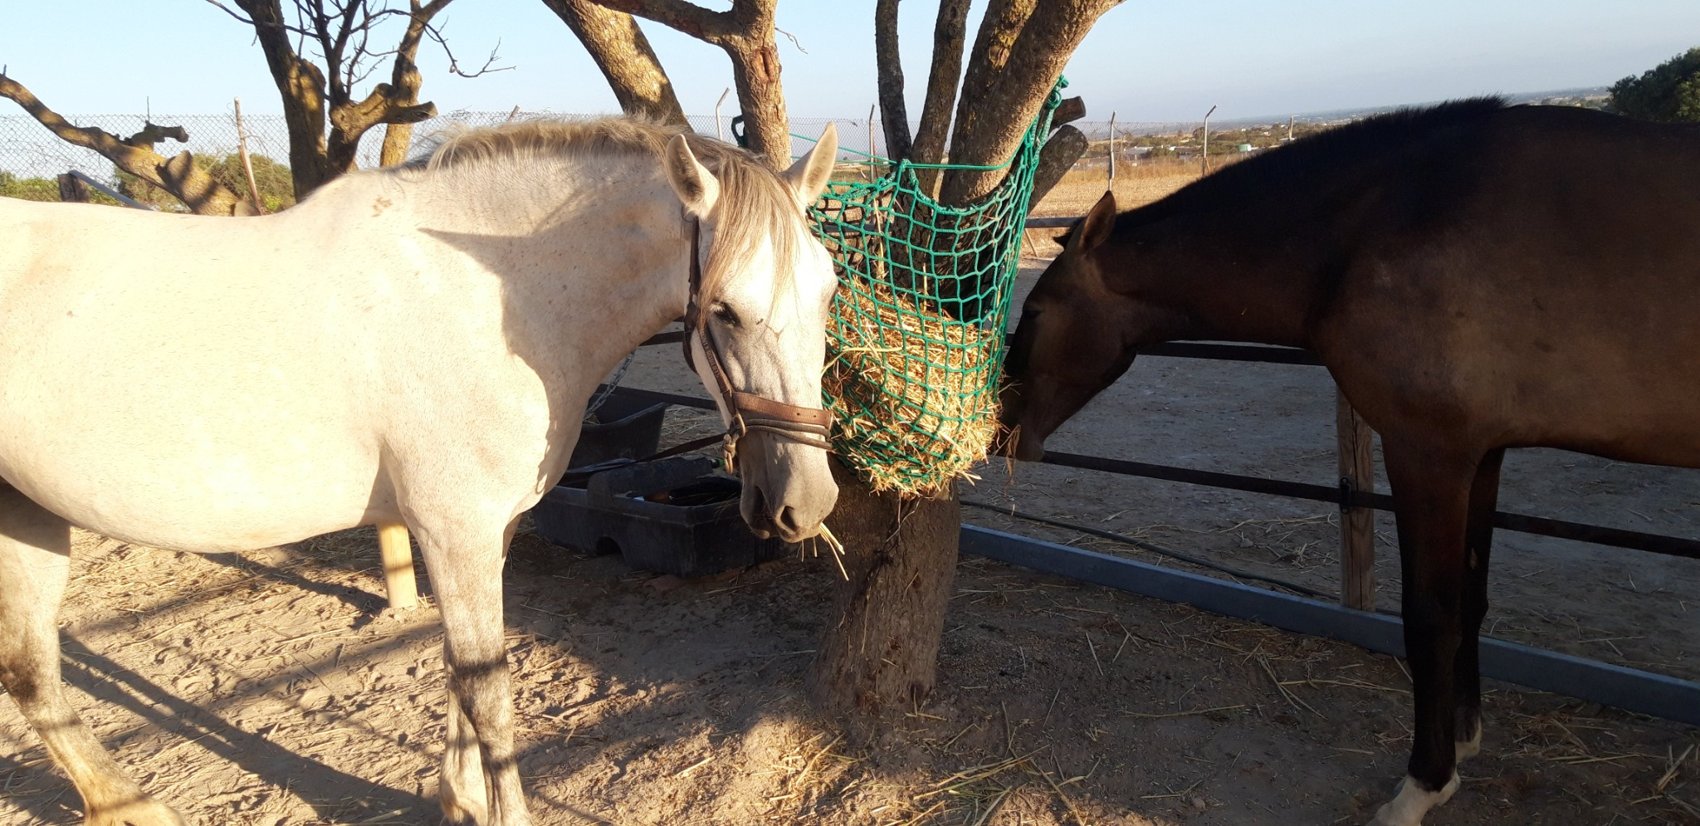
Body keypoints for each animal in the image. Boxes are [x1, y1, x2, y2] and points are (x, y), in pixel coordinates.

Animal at [0, 117, 842, 826]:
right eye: (724, 310)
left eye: (830, 288)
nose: (807, 501)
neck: (484, 301)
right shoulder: (454, 530)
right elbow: (489, 691)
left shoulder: (486, 531)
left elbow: (457, 674)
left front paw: (459, 800)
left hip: (30, 522)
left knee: (31, 674)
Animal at [996, 99, 1700, 825]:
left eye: (1036, 310)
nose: (1001, 419)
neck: (1375, 230)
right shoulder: (1483, 452)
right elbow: (1472, 598)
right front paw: (1464, 739)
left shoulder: (1430, 452)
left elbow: (1431, 615)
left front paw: (1423, 785)